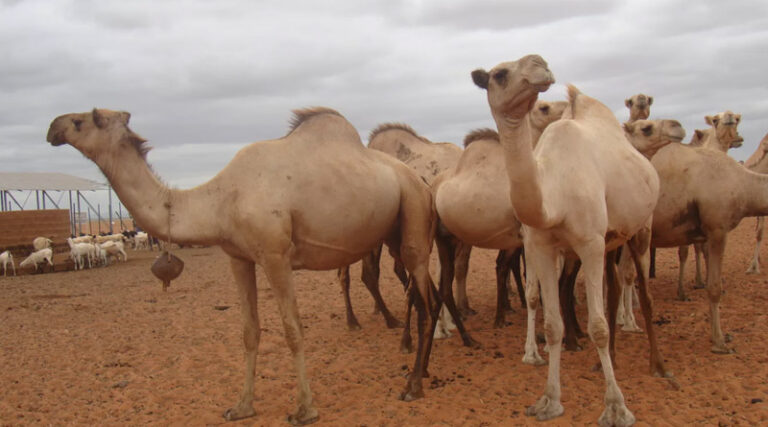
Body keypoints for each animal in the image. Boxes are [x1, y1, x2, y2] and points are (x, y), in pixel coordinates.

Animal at [46, 107, 441, 424]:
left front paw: (304, 409)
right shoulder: (238, 258)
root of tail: (422, 181)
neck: (220, 200)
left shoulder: (275, 255)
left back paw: (412, 385)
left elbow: (292, 330)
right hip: (393, 228)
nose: (52, 128)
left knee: (423, 298)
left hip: (413, 211)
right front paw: (241, 407)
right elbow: (249, 331)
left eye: (82, 120)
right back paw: (422, 371)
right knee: (430, 297)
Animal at [472, 54, 676, 425]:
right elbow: (553, 325)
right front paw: (548, 400)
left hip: (641, 228)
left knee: (644, 293)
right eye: (500, 74)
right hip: (612, 239)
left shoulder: (590, 243)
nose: (539, 63)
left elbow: (598, 326)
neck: (554, 196)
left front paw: (616, 407)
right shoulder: (542, 247)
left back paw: (659, 366)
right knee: (613, 290)